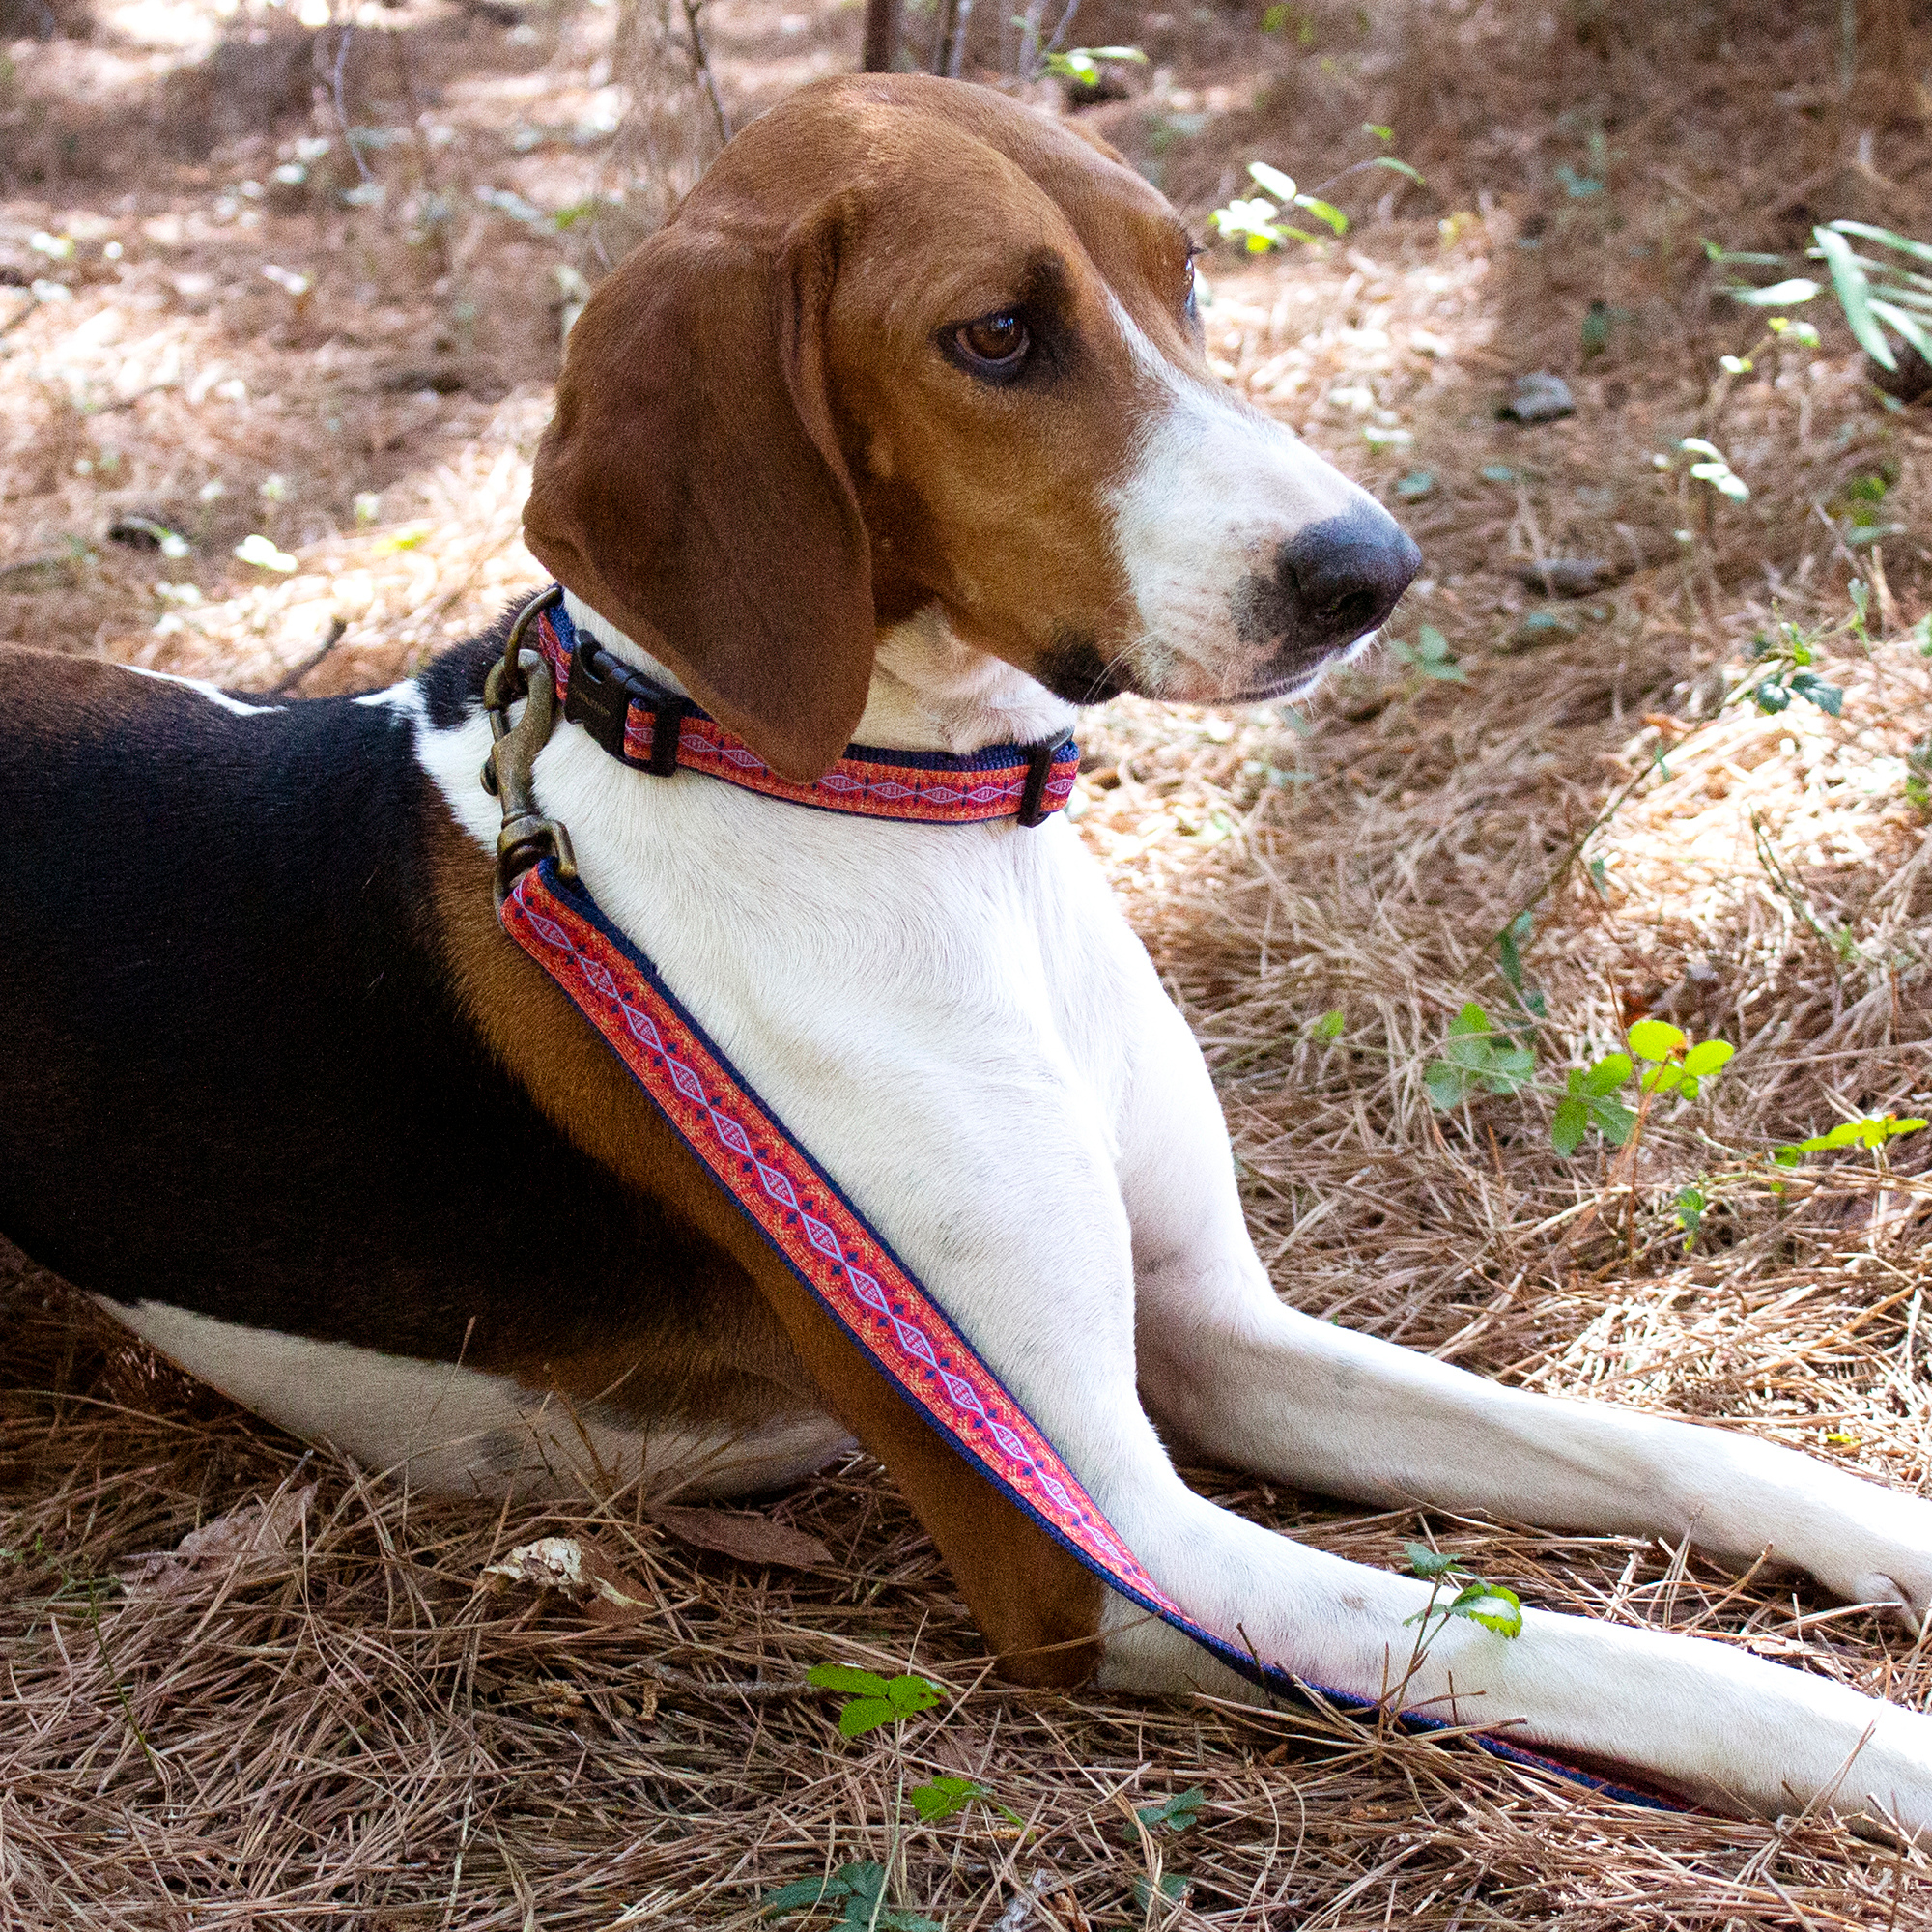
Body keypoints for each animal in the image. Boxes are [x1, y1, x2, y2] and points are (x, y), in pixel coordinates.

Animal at [11, 71, 1932, 1824]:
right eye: (996, 335)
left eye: (1182, 272)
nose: (1372, 569)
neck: (923, 830)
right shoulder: (1099, 1547)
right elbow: (1642, 1665)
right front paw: (1890, 1758)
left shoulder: (1215, 1332)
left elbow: (1663, 1443)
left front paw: (1888, 1529)